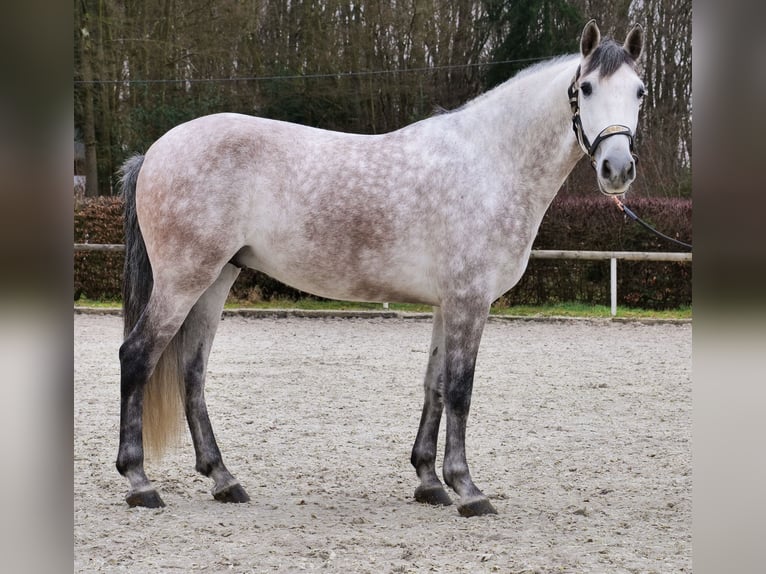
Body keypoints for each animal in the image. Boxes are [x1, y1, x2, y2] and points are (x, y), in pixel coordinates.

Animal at [116, 20, 645, 517]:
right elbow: (460, 389)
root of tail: (155, 152)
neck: (488, 163)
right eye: (586, 87)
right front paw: (467, 488)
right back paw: (140, 482)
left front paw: (430, 482)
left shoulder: (446, 304)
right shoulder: (470, 300)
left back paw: (223, 479)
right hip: (183, 281)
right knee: (137, 357)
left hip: (214, 280)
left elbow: (434, 386)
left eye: (639, 90)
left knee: (192, 371)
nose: (617, 169)